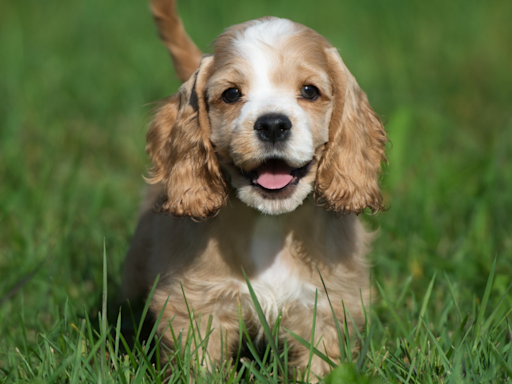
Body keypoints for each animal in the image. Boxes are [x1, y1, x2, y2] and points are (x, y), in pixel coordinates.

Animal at [122, 0, 388, 376]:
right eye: (231, 94)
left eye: (310, 91)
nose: (273, 124)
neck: (270, 223)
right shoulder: (197, 303)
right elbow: (198, 362)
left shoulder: (325, 305)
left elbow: (320, 363)